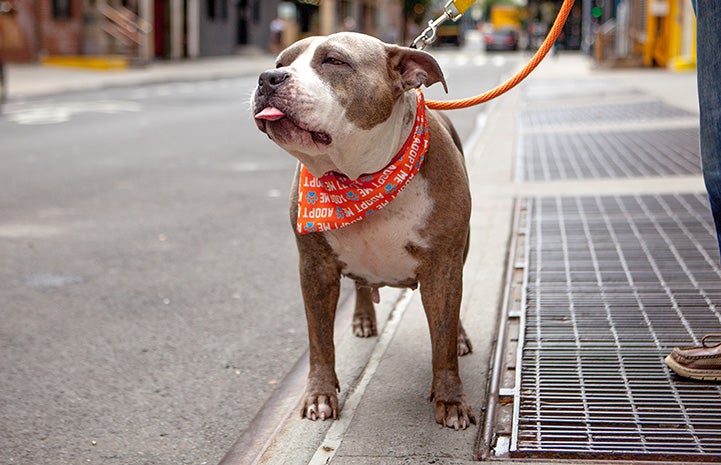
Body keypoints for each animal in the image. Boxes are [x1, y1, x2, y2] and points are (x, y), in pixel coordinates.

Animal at [250, 32, 476, 430]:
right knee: (359, 284)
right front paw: (319, 395)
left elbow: (443, 340)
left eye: (334, 61)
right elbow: (320, 341)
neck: (359, 178)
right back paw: (362, 318)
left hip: (460, 254)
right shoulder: (314, 268)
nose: (268, 78)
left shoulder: (443, 265)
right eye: (281, 63)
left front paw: (451, 399)